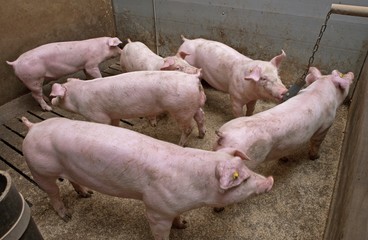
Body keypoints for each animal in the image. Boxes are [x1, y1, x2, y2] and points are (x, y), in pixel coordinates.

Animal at [20, 117, 274, 240]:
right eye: (243, 179)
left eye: (247, 169)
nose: (270, 180)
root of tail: (33, 128)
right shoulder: (156, 208)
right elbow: (160, 231)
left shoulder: (173, 206)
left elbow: (178, 218)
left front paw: (183, 224)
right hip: (40, 169)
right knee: (53, 193)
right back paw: (67, 216)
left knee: (73, 181)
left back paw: (87, 194)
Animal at [48, 70, 206, 146]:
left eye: (57, 96)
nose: (52, 101)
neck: (78, 97)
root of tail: (193, 79)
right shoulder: (114, 115)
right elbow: (115, 125)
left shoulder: (98, 116)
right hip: (192, 106)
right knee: (200, 116)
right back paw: (202, 135)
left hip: (181, 109)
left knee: (188, 128)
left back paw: (180, 144)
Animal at [213, 66, 354, 170]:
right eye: (341, 75)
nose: (351, 73)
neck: (321, 89)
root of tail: (225, 135)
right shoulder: (325, 125)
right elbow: (316, 142)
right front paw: (315, 157)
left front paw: (284, 159)